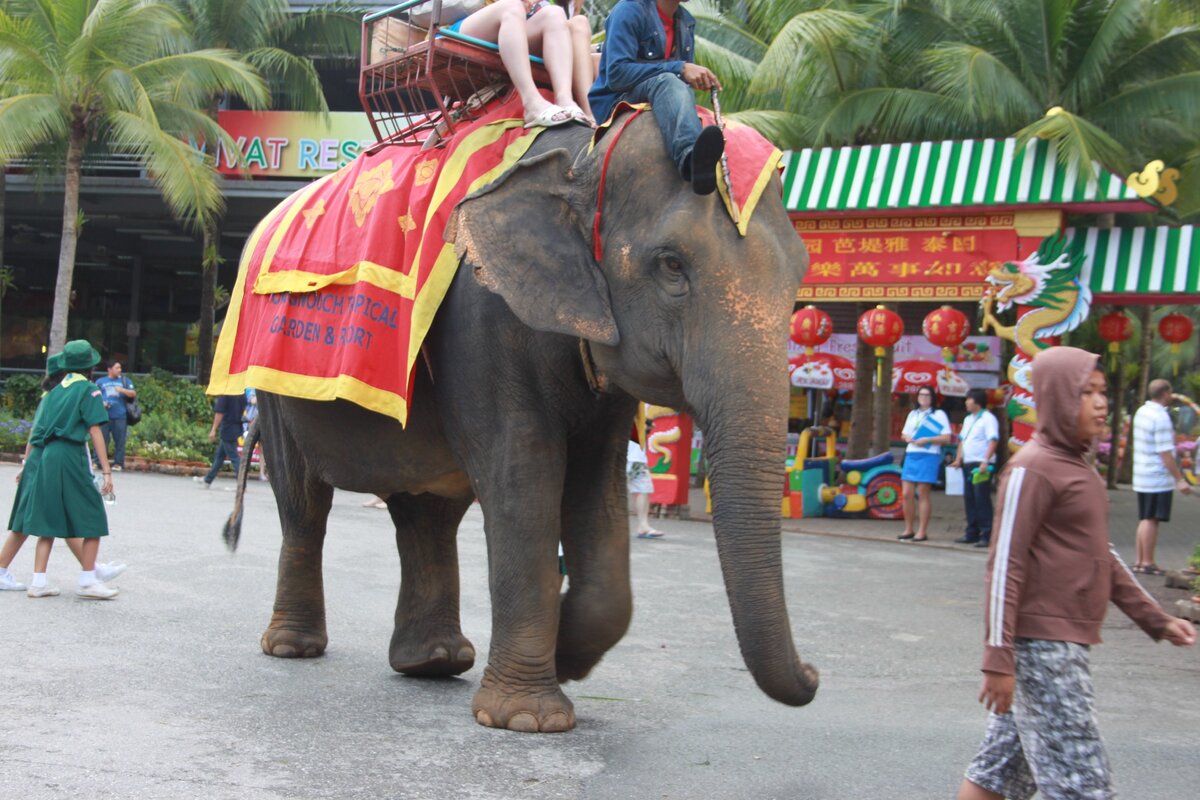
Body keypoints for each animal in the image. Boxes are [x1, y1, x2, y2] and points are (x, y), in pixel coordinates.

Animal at [226, 110, 816, 734]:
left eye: (800, 271)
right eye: (671, 265)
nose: (813, 675)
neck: (585, 155)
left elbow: (597, 492)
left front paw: (568, 658)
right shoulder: (484, 325)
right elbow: (524, 484)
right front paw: (529, 719)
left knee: (426, 512)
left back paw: (434, 663)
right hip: (270, 383)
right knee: (303, 502)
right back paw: (293, 648)